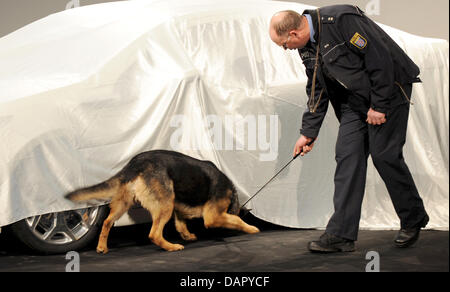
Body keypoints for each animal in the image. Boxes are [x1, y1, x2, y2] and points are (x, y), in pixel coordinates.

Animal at [65, 151, 258, 253]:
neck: (232, 191)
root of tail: (136, 164)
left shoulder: (180, 211)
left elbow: (181, 225)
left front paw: (187, 235)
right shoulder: (212, 217)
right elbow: (237, 220)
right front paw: (251, 228)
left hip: (124, 203)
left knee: (106, 222)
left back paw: (101, 247)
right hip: (165, 206)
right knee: (154, 234)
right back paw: (172, 247)